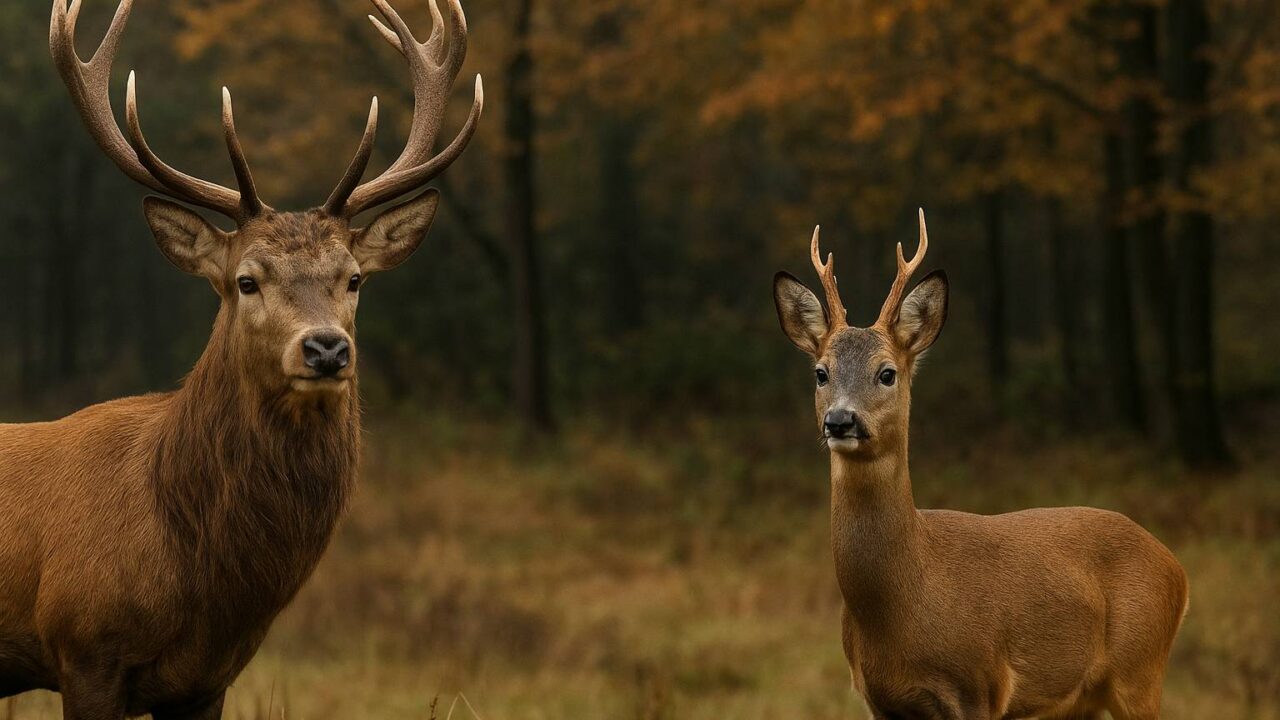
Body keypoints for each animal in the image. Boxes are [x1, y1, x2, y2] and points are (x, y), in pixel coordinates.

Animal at [772, 212, 1189, 720]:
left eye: (887, 372)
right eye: (821, 372)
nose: (840, 420)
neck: (906, 598)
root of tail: (1176, 568)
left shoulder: (980, 683)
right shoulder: (878, 698)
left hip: (1140, 671)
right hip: (1082, 699)